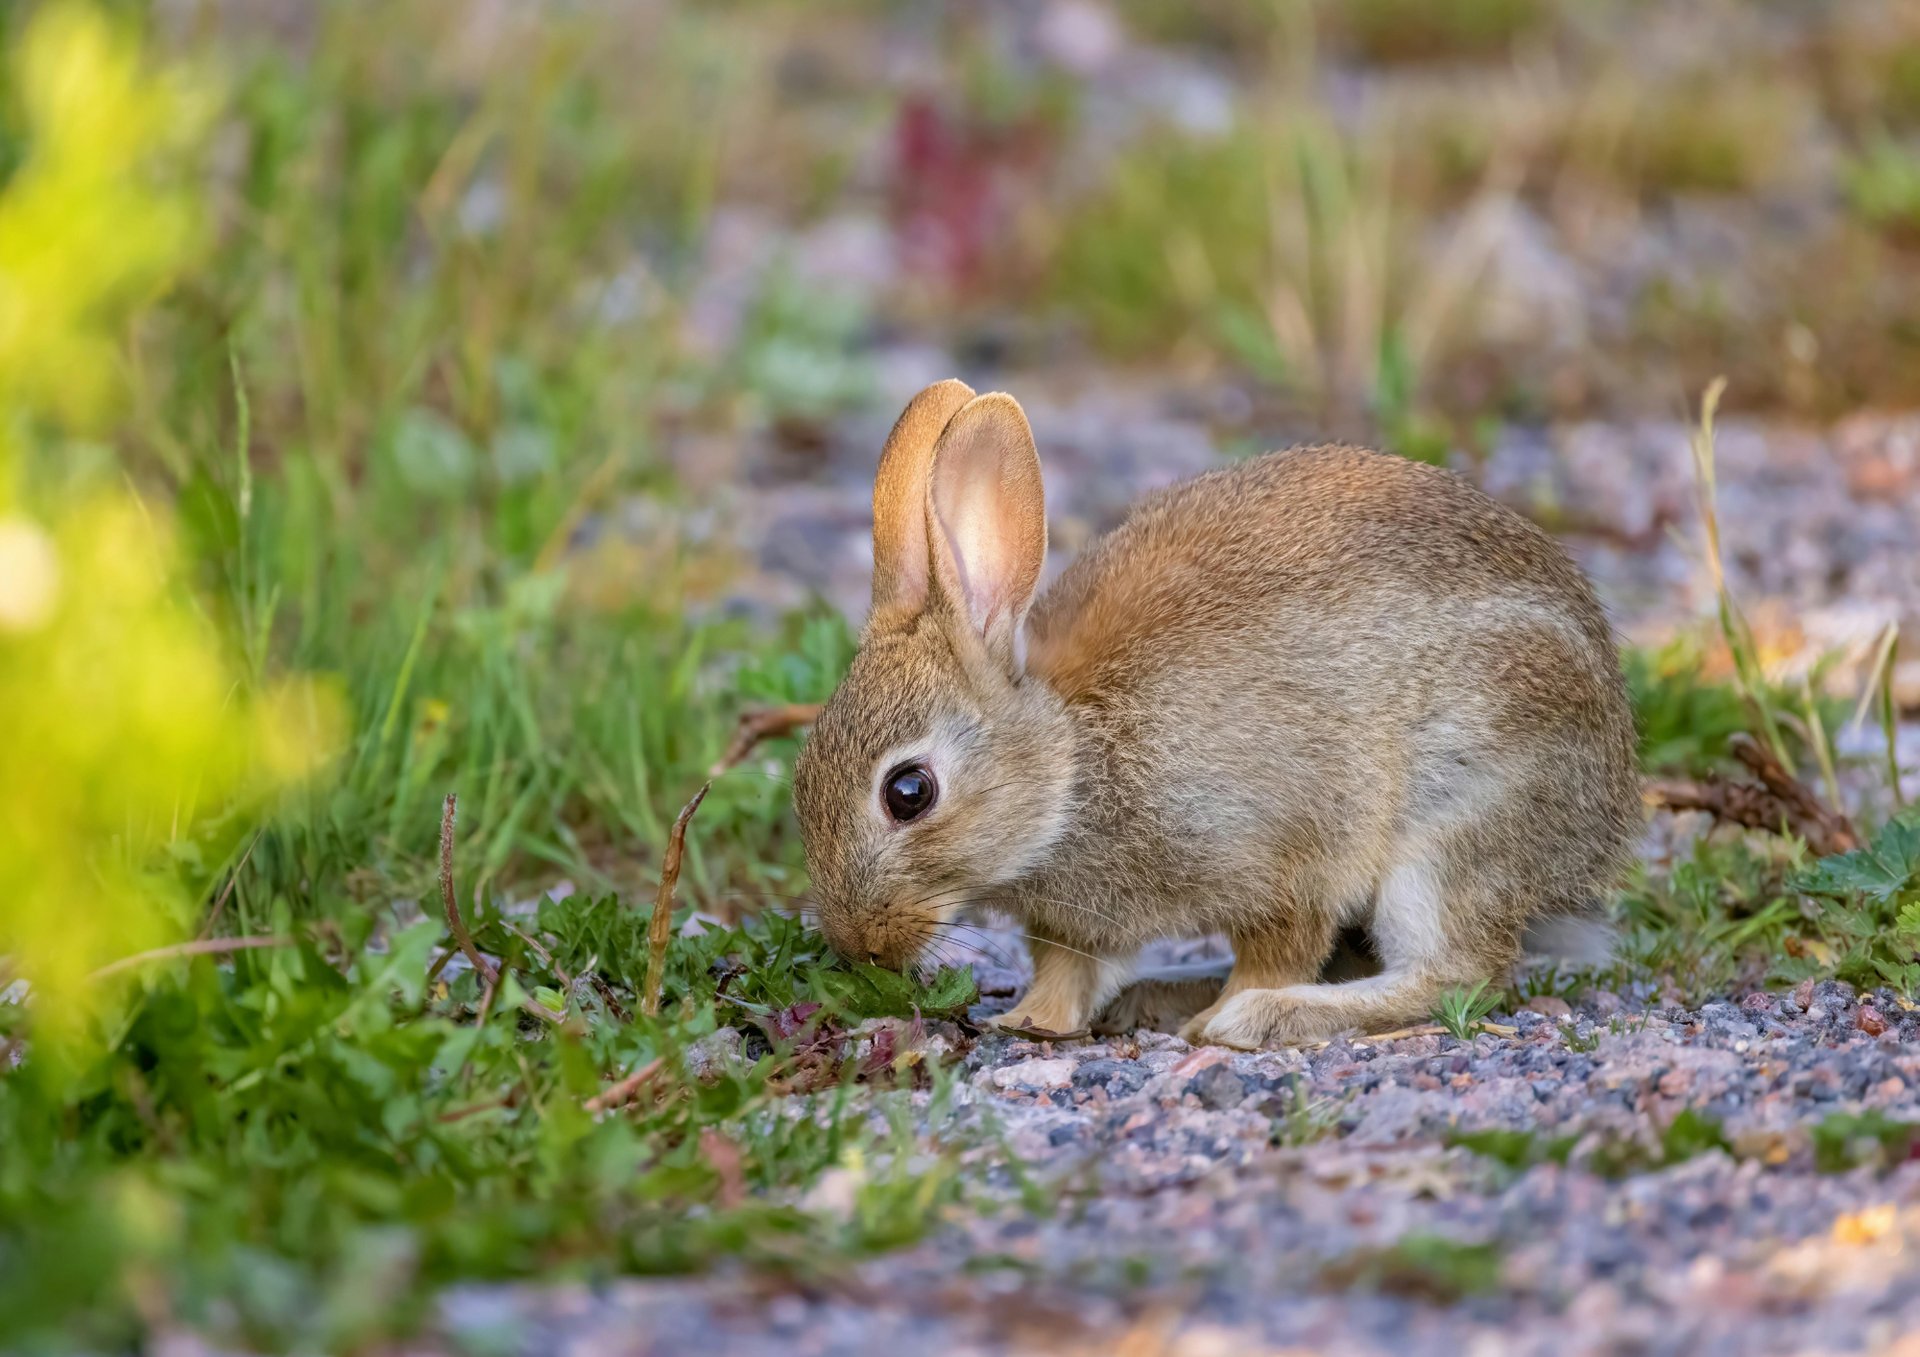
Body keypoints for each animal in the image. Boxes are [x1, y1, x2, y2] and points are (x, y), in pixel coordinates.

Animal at [791, 379, 1639, 1048]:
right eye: (800, 778)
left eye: (909, 792)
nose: (860, 943)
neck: (1071, 766)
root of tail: (1605, 820)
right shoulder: (1074, 922)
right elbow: (1066, 971)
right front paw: (1030, 1020)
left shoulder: (1286, 853)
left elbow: (1281, 943)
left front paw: (1234, 1011)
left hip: (1453, 819)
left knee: (1457, 970)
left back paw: (1259, 1016)